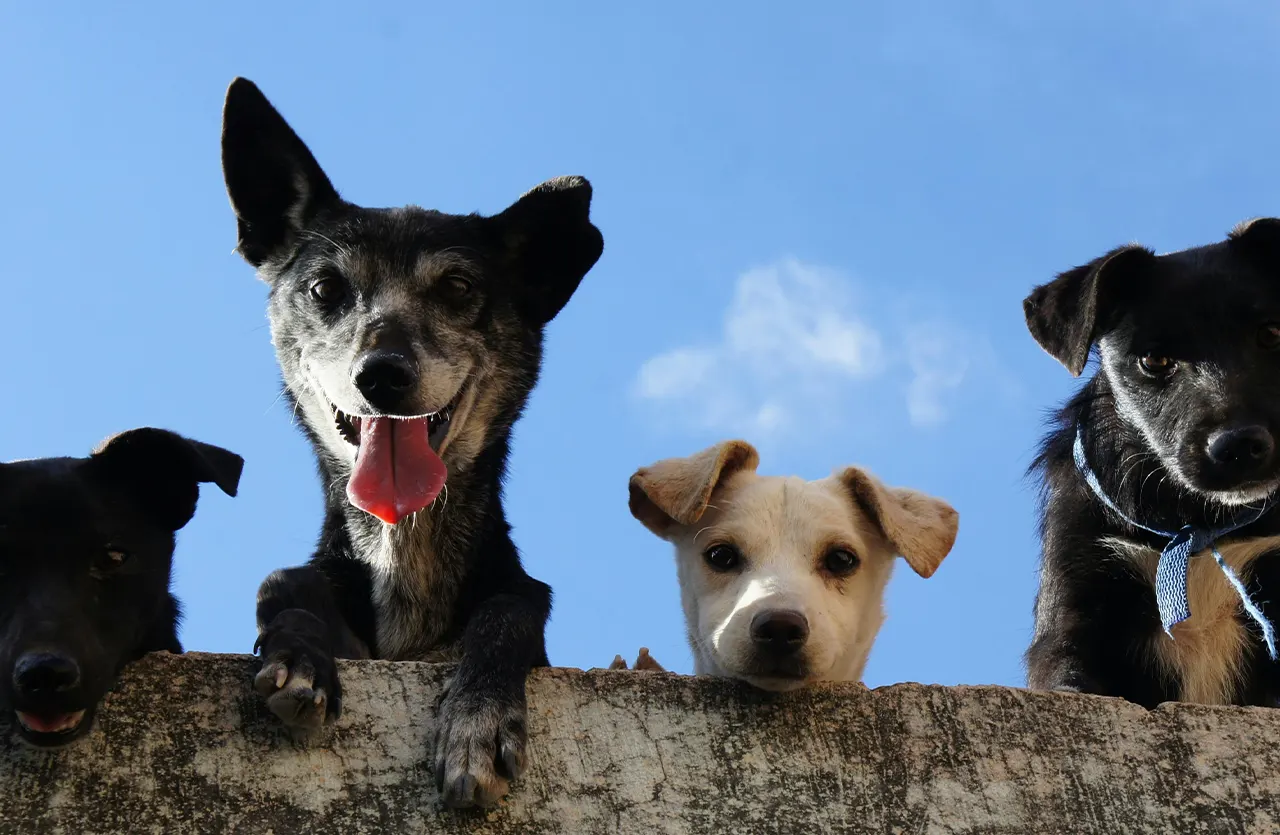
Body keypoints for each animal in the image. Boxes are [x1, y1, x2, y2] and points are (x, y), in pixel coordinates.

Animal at [222, 80, 606, 809]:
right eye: (325, 288)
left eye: (457, 287)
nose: (382, 374)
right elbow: (281, 579)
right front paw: (299, 658)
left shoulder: (517, 604)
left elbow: (512, 608)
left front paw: (477, 723)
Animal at [1024, 218, 1280, 706]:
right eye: (1155, 360)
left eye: (1273, 335)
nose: (1238, 447)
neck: (1197, 524)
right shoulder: (1073, 612)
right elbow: (1068, 675)